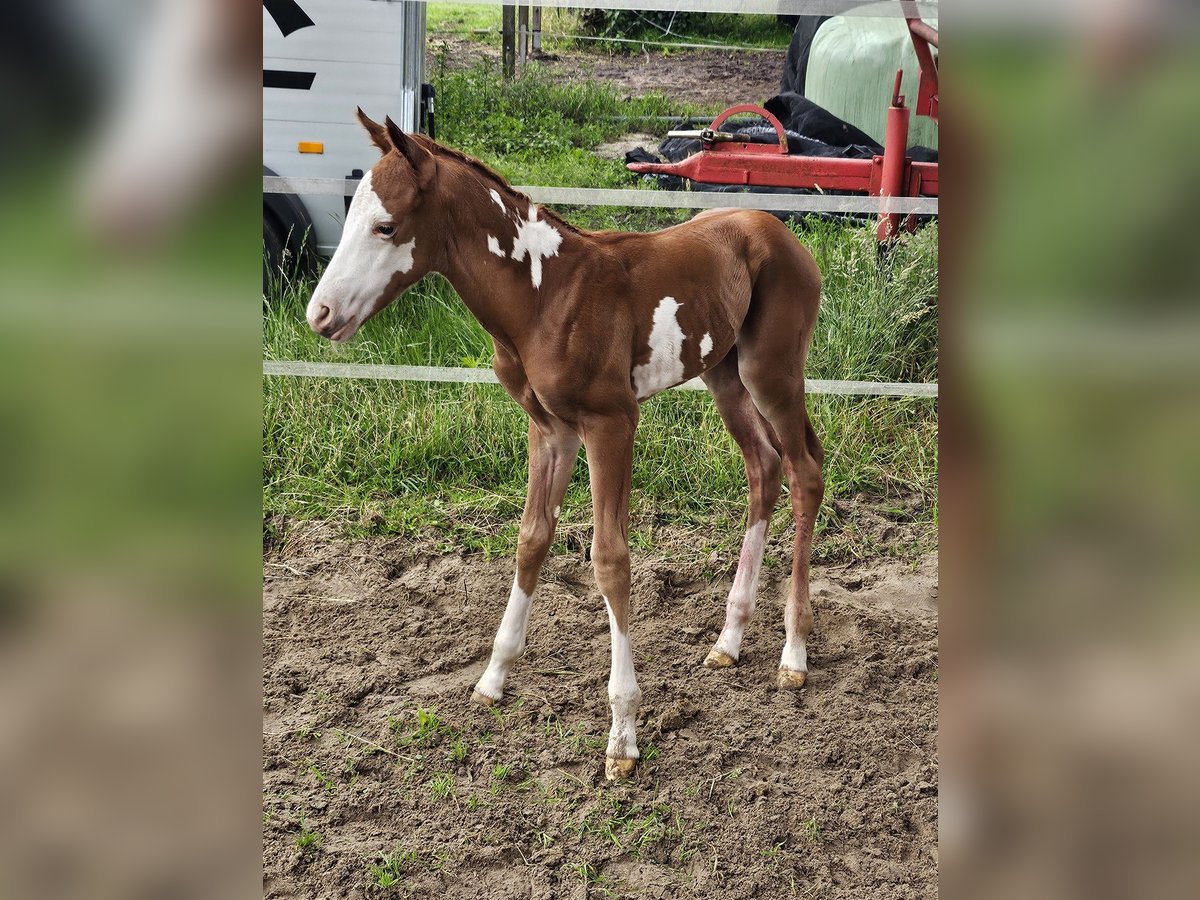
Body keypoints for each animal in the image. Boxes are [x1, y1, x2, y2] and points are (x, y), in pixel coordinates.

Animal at [307, 109, 825, 777]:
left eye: (386, 226)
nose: (320, 315)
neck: (545, 294)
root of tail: (783, 232)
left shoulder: (611, 423)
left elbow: (610, 561)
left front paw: (623, 737)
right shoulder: (549, 428)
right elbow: (531, 541)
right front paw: (493, 678)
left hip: (772, 372)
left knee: (804, 473)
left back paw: (793, 654)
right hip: (724, 374)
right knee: (764, 466)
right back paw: (729, 641)